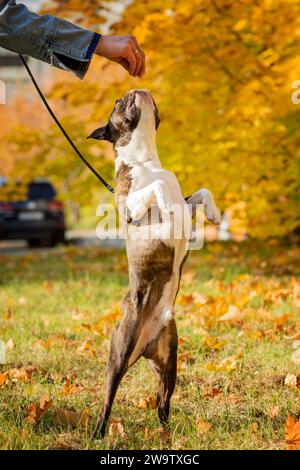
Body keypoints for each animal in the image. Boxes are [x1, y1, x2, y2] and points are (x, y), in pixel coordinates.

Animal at [87, 90, 220, 438]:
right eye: (118, 103)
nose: (136, 90)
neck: (147, 162)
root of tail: (144, 343)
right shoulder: (130, 206)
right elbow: (157, 189)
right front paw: (164, 205)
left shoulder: (187, 202)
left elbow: (201, 191)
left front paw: (214, 214)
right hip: (119, 352)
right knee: (108, 397)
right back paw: (98, 432)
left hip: (169, 359)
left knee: (162, 402)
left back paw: (165, 433)